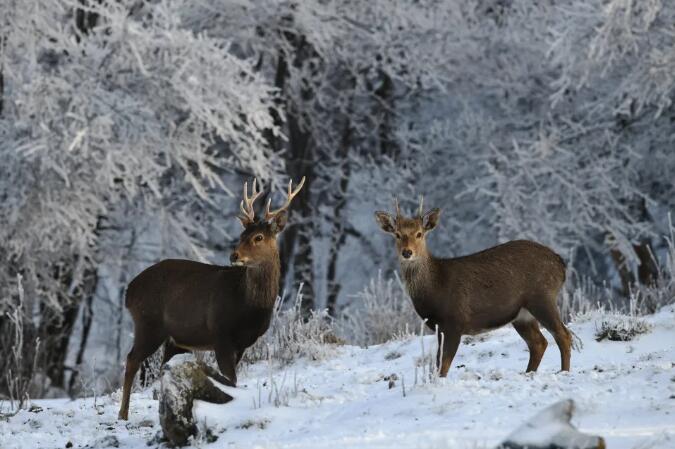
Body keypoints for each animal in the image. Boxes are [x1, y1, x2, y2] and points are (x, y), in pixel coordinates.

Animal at [117, 176, 304, 420]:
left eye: (258, 237)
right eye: (242, 235)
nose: (234, 255)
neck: (249, 307)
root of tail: (129, 291)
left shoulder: (242, 344)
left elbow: (232, 379)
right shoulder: (220, 334)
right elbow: (230, 380)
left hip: (173, 338)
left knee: (161, 366)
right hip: (149, 323)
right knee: (132, 359)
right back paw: (122, 414)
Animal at [374, 198, 572, 376]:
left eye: (419, 233)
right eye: (397, 234)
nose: (407, 252)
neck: (436, 287)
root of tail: (560, 263)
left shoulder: (454, 322)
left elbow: (443, 365)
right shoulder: (440, 328)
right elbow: (438, 364)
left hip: (542, 296)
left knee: (563, 334)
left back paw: (564, 372)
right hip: (522, 314)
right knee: (539, 343)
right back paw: (529, 373)